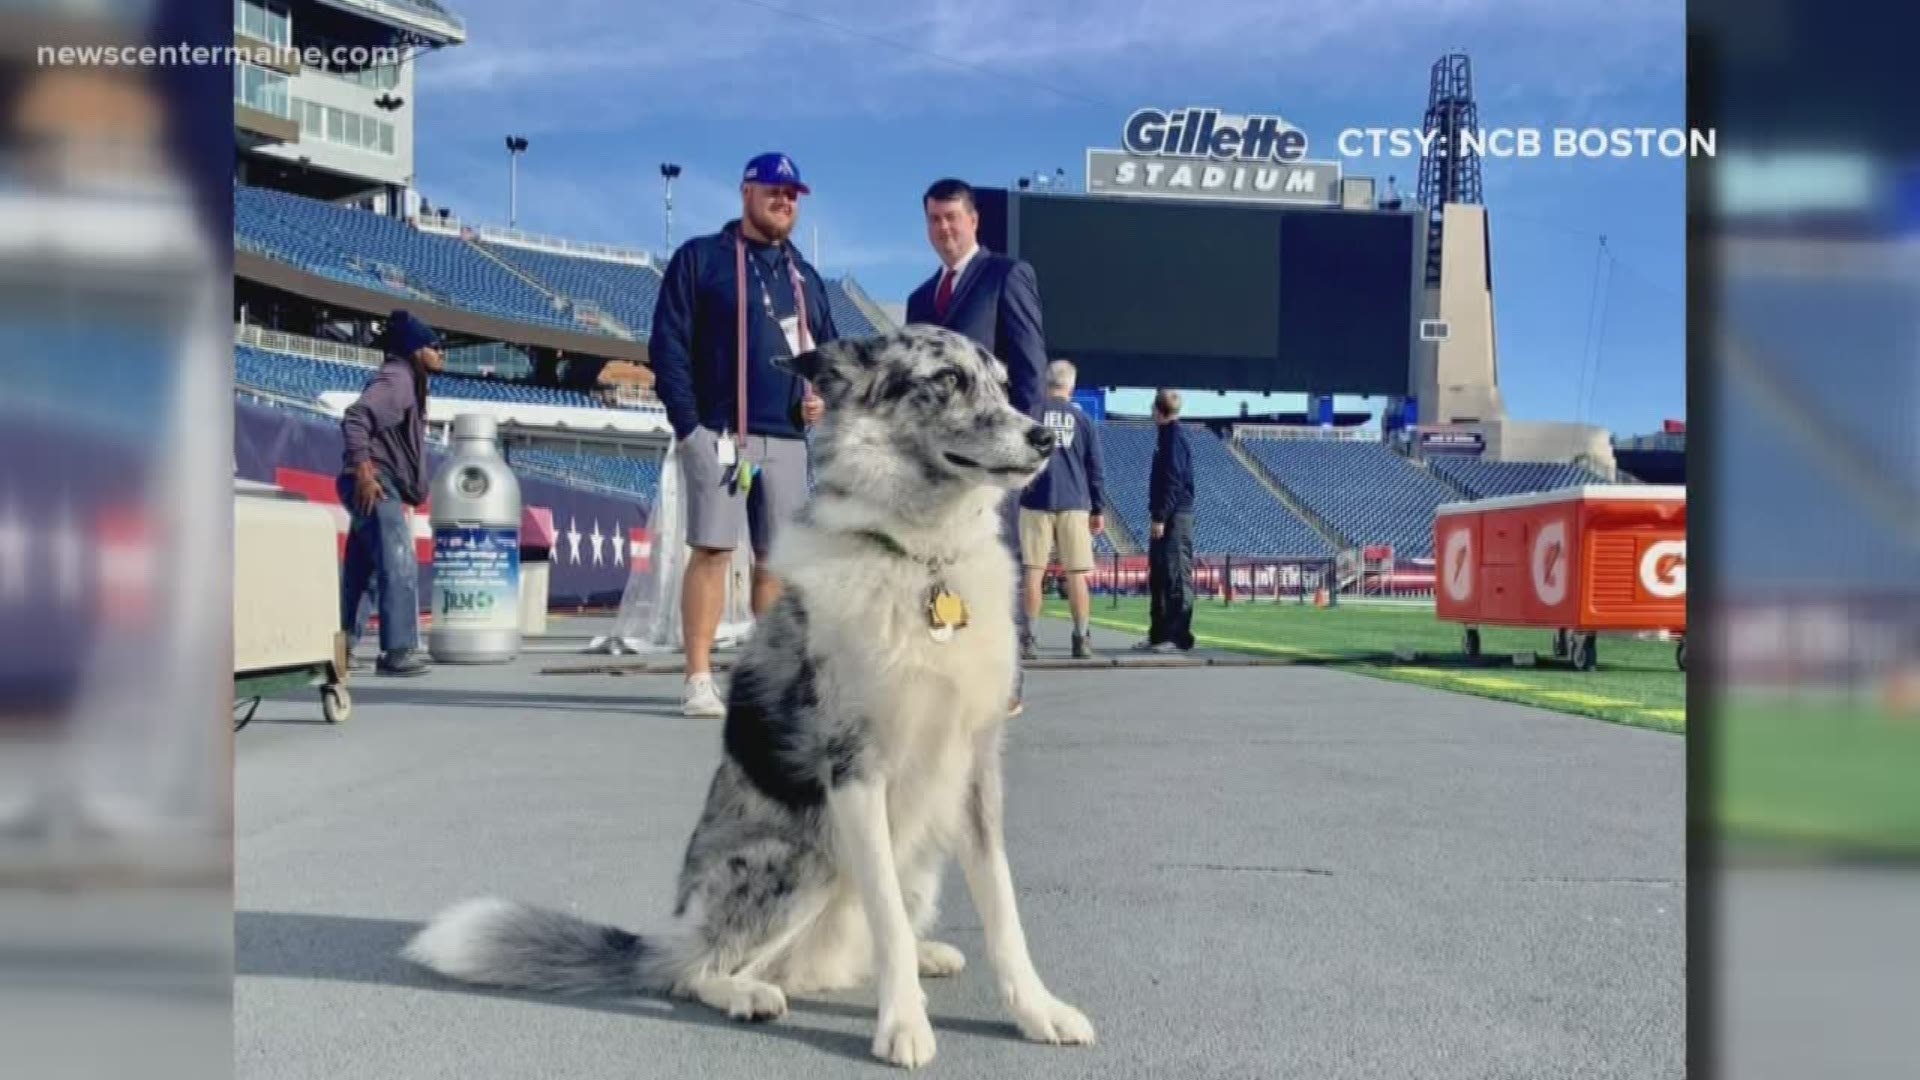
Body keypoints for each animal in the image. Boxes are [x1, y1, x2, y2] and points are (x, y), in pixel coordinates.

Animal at [405, 322, 1098, 1060]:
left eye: (1002, 382)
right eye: (946, 380)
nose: (1045, 439)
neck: (919, 559)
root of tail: (669, 933)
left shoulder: (974, 770)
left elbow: (1001, 906)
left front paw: (1036, 1010)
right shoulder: (855, 772)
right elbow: (884, 910)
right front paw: (904, 1024)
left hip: (916, 863)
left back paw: (924, 952)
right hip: (806, 859)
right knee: (693, 971)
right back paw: (747, 993)